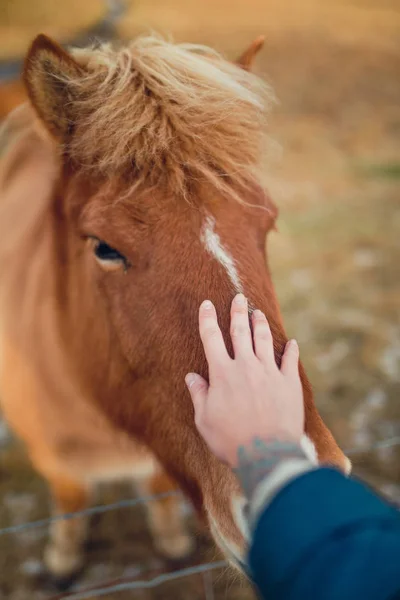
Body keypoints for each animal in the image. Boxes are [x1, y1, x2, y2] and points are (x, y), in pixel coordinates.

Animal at [0, 31, 350, 580]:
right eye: (104, 247)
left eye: (268, 224)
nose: (309, 507)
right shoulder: (54, 456)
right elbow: (71, 494)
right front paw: (63, 556)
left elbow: (160, 488)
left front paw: (170, 541)